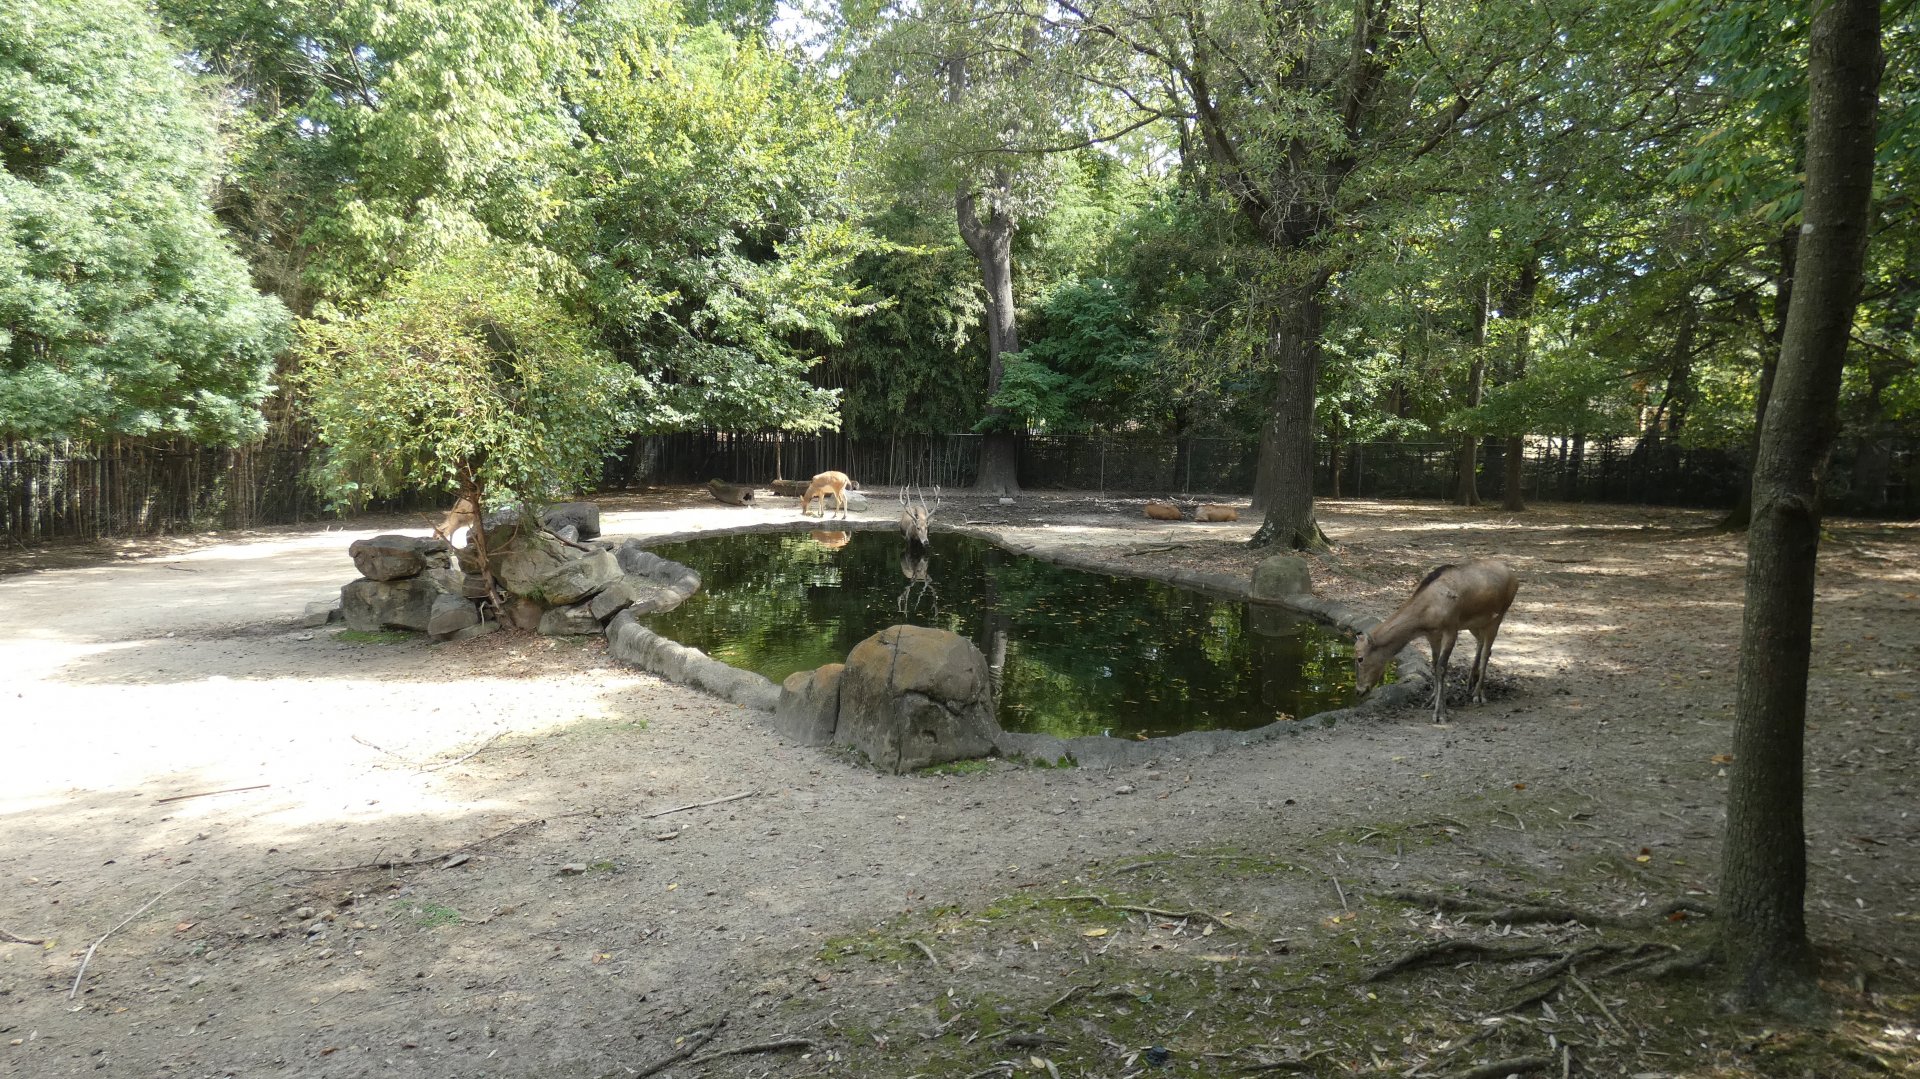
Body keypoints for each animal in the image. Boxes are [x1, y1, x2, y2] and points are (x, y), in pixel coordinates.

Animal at [1354, 559, 1519, 724]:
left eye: (1360, 658)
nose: (1359, 690)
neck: (1426, 616)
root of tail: (1514, 577)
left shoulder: (1451, 628)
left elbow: (1441, 667)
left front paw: (1440, 713)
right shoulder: (1432, 635)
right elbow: (1434, 665)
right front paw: (1432, 701)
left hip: (1498, 615)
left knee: (1486, 652)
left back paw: (1478, 694)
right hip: (1475, 623)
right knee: (1481, 643)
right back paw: (1470, 682)